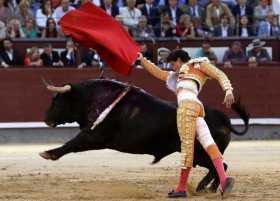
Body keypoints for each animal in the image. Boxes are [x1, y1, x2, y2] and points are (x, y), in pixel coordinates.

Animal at [40, 78, 248, 192]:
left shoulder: (95, 135)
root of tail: (224, 119)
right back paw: (208, 188)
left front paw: (48, 153)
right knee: (220, 166)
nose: (46, 119)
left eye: (57, 100)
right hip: (199, 155)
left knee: (219, 166)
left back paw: (206, 187)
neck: (96, 99)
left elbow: (73, 143)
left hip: (200, 152)